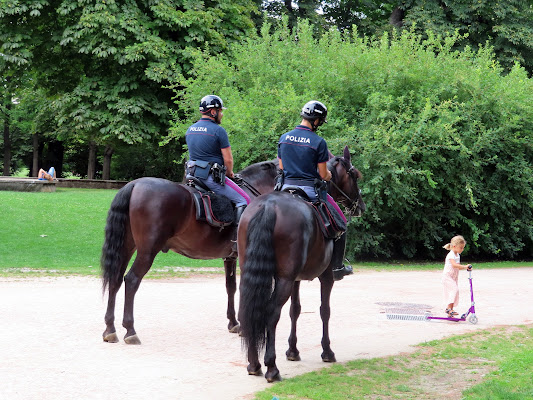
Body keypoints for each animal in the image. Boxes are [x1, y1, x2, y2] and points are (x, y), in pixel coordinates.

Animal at [98, 159, 278, 344]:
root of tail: (134, 184)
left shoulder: (230, 258)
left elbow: (231, 287)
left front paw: (234, 322)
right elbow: (242, 287)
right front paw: (243, 326)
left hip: (127, 247)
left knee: (115, 279)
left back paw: (110, 329)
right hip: (147, 251)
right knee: (132, 280)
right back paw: (130, 330)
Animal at [239, 146, 364, 382]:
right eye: (354, 175)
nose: (360, 205)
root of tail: (267, 206)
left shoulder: (296, 278)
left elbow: (295, 310)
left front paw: (292, 351)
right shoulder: (325, 276)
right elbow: (325, 310)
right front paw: (327, 351)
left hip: (253, 274)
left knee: (250, 310)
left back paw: (254, 364)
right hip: (285, 280)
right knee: (271, 313)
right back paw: (271, 367)